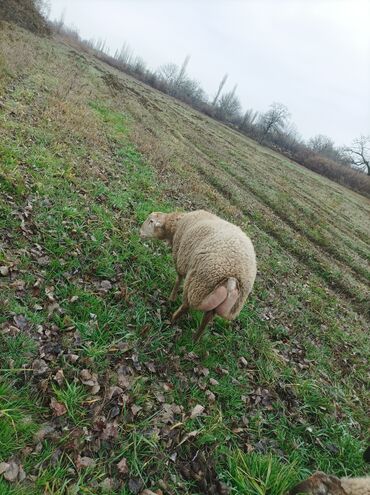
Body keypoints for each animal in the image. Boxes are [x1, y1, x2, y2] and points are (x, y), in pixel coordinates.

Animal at [139, 209, 258, 340]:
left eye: (151, 221)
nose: (140, 233)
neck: (176, 225)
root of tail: (233, 278)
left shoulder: (181, 259)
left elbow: (178, 278)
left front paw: (172, 297)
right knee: (207, 318)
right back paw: (195, 339)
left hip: (198, 284)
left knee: (187, 305)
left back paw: (172, 319)